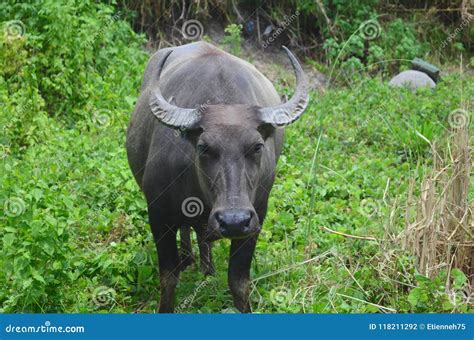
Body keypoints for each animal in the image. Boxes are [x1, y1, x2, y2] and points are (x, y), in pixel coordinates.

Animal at [125, 41, 308, 312]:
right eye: (203, 147)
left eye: (257, 147)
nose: (233, 221)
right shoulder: (158, 215)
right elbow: (168, 277)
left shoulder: (256, 217)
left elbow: (239, 281)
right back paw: (189, 259)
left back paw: (207, 267)